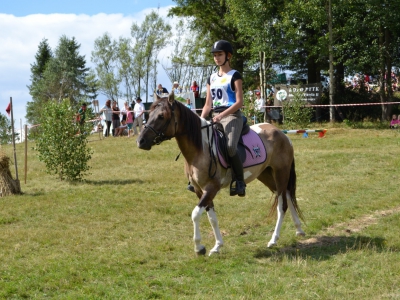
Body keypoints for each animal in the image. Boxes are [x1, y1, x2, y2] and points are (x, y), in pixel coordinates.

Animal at [136, 93, 304, 255]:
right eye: (149, 114)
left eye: (161, 116)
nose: (140, 141)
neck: (200, 149)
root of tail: (282, 134)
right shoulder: (200, 190)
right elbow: (212, 218)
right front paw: (217, 246)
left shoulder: (211, 188)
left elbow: (195, 214)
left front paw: (199, 247)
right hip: (266, 174)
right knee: (287, 195)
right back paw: (299, 229)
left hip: (281, 172)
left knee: (282, 204)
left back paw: (273, 240)